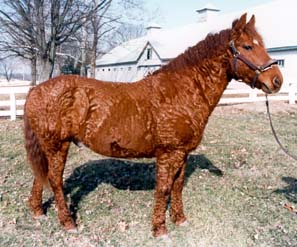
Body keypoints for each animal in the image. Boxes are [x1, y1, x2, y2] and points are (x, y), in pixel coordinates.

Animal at [23, 14, 282, 237]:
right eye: (247, 47)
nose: (277, 80)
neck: (181, 92)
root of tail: (36, 90)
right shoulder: (169, 153)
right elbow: (164, 188)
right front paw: (160, 229)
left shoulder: (182, 153)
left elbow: (177, 186)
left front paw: (179, 219)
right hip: (58, 146)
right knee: (54, 180)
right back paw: (67, 222)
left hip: (49, 147)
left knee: (40, 175)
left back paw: (37, 211)